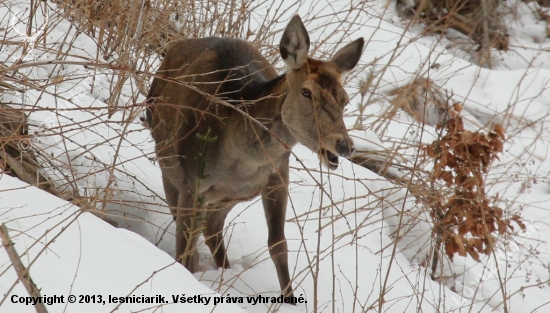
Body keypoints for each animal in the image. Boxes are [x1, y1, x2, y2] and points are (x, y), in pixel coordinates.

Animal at [146, 15, 366, 298]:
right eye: (306, 92)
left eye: (345, 100)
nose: (344, 144)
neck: (244, 160)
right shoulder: (191, 179)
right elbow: (184, 243)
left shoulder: (278, 176)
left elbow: (278, 244)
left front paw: (290, 298)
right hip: (169, 165)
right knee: (192, 227)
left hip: (231, 195)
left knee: (212, 227)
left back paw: (226, 268)